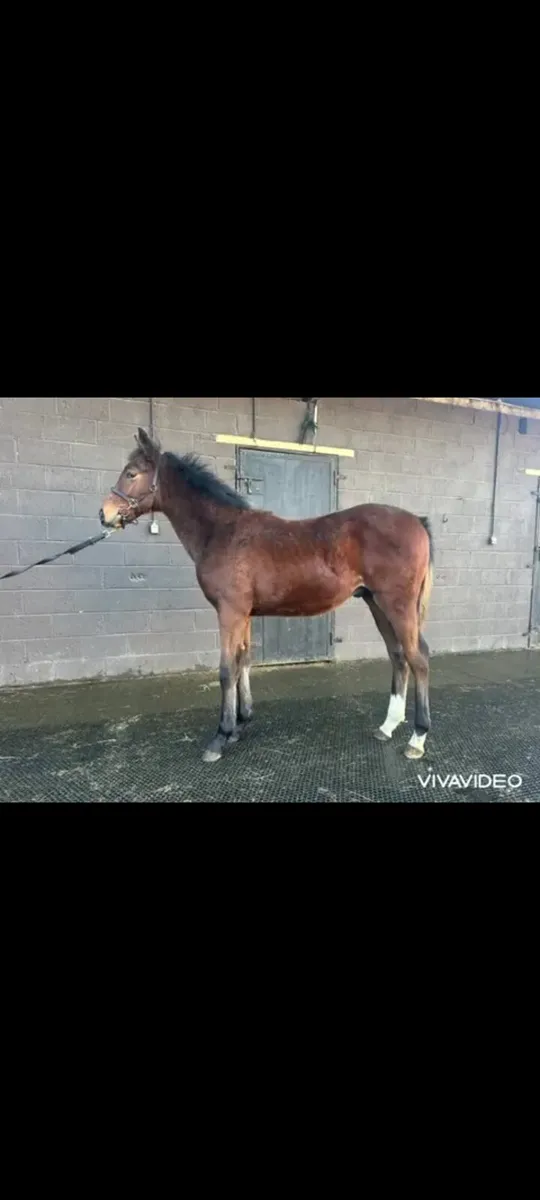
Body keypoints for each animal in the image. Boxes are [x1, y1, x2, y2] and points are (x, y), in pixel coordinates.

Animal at [100, 428, 434, 763]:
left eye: (131, 473)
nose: (104, 514)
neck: (222, 532)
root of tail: (417, 521)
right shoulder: (244, 614)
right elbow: (243, 662)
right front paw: (240, 724)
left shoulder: (229, 612)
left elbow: (226, 670)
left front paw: (220, 737)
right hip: (376, 603)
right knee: (398, 656)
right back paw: (388, 726)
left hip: (397, 605)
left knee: (418, 658)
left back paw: (417, 738)